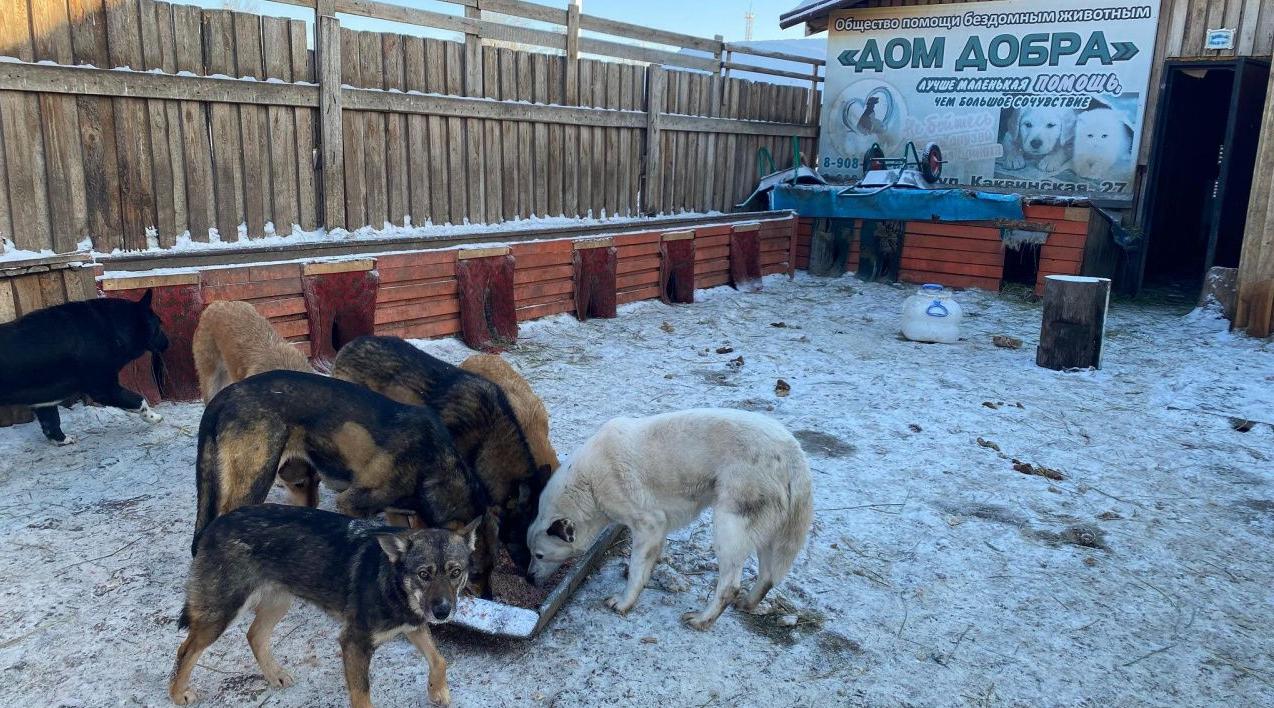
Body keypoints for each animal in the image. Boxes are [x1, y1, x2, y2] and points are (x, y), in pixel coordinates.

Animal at [0, 287, 169, 443]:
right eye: (159, 324)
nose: (168, 343)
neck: (113, 328)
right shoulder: (104, 388)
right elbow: (140, 400)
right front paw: (154, 417)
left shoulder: (44, 400)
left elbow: (51, 423)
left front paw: (63, 440)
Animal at [171, 506, 479, 708]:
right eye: (424, 574)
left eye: (455, 572)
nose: (443, 612)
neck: (391, 580)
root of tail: (216, 523)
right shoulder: (354, 643)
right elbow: (362, 697)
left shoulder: (414, 625)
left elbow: (439, 659)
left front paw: (437, 691)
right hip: (222, 612)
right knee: (186, 650)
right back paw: (177, 694)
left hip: (279, 601)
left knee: (254, 635)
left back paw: (275, 675)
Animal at [529, 410, 815, 631]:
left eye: (539, 555)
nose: (529, 578)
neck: (585, 485)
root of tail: (794, 454)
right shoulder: (658, 528)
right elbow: (646, 561)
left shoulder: (648, 524)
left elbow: (637, 570)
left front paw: (625, 602)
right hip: (769, 534)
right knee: (768, 576)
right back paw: (747, 603)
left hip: (729, 527)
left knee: (729, 585)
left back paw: (703, 619)